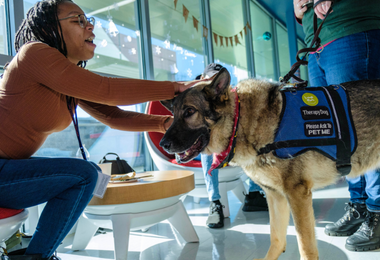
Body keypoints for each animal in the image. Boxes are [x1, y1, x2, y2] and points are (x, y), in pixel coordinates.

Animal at [160, 68, 380, 258]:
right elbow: (277, 238)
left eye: (189, 112)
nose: (163, 144)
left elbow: (305, 246)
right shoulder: (276, 195)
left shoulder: (297, 194)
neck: (240, 121)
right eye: (174, 115)